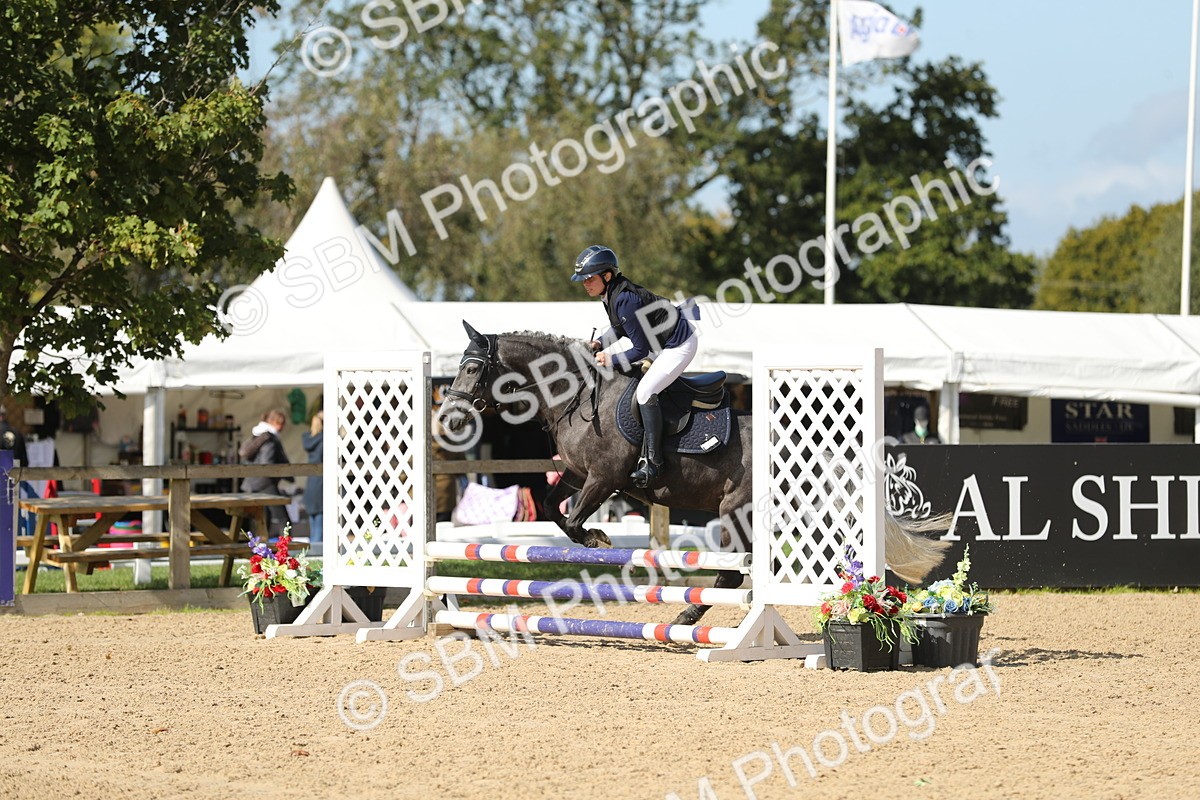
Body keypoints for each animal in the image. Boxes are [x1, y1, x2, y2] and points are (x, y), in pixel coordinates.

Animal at [438, 324, 950, 627]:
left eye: (473, 367)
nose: (449, 419)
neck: (577, 395)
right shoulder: (578, 473)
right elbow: (551, 508)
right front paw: (593, 537)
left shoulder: (604, 478)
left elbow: (576, 518)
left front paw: (597, 539)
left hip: (734, 511)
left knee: (731, 575)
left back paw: (687, 617)